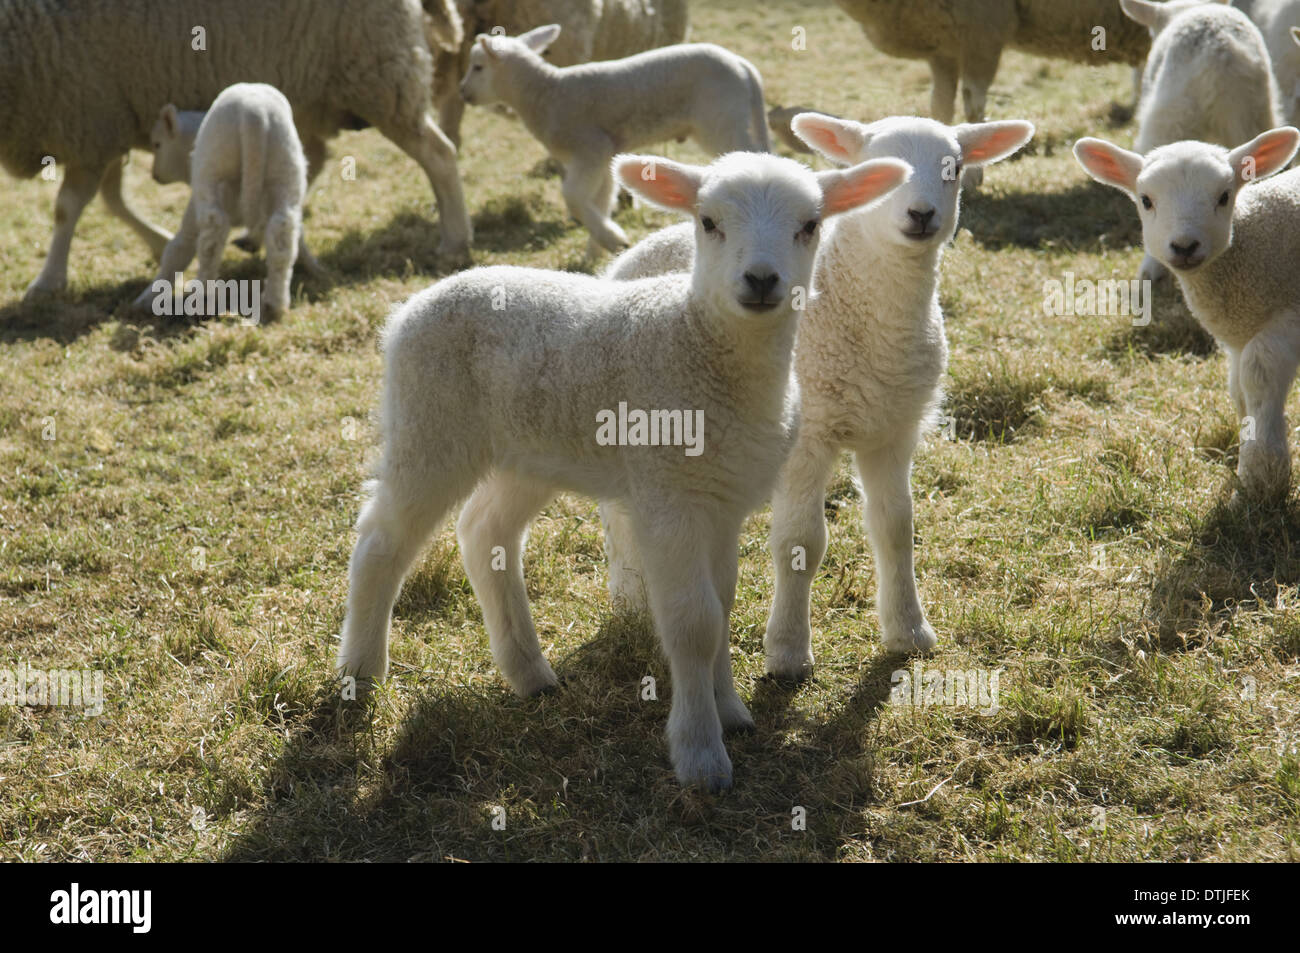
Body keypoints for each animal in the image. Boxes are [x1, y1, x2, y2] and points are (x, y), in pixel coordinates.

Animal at [130, 84, 317, 323]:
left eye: (157, 144)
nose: (155, 176)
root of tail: (254, 115)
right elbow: (300, 238)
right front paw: (316, 269)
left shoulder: (195, 201)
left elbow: (177, 250)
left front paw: (144, 300)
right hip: (287, 170)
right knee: (283, 232)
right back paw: (275, 304)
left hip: (212, 173)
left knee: (212, 235)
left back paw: (203, 301)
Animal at [335, 150, 912, 790]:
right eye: (707, 222)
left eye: (810, 225)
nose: (762, 280)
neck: (698, 342)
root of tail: (412, 306)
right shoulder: (666, 495)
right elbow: (694, 622)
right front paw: (700, 753)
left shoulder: (722, 498)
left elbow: (722, 606)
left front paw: (731, 712)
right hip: (429, 424)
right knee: (381, 541)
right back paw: (361, 672)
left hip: (527, 451)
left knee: (485, 531)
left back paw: (529, 673)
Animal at [458, 24, 770, 259]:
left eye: (478, 67)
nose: (462, 92)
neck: (546, 93)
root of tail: (744, 66)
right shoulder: (606, 155)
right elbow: (602, 198)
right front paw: (598, 252)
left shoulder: (590, 148)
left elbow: (572, 195)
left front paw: (611, 239)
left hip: (722, 121)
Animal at [600, 114, 1035, 674]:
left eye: (954, 168)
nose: (921, 214)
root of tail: (640, 246)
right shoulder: (808, 438)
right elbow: (800, 541)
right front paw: (787, 649)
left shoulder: (895, 430)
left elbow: (896, 527)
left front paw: (908, 629)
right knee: (617, 510)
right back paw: (630, 598)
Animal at [1074, 126, 1300, 498]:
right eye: (1146, 200)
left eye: (1224, 196)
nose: (1184, 246)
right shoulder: (1239, 336)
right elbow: (1239, 390)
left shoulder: (1288, 314)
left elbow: (1258, 372)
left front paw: (1263, 474)